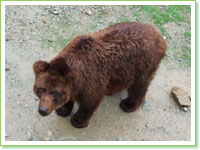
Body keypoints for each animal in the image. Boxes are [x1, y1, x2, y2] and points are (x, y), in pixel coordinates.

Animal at [33, 22, 167, 127]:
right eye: (41, 89)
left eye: (55, 93)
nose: (43, 110)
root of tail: (158, 33)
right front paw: (62, 110)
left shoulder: (91, 81)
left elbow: (90, 101)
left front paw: (77, 121)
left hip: (143, 64)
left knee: (139, 85)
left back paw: (128, 105)